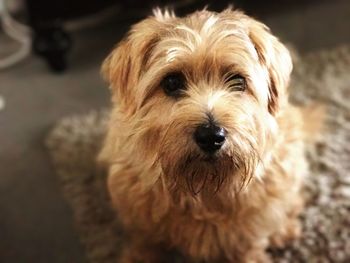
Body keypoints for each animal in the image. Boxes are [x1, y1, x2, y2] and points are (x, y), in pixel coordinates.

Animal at [98, 8, 308, 263]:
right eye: (172, 82)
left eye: (238, 81)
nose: (211, 136)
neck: (203, 188)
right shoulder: (142, 223)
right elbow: (145, 244)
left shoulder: (249, 229)